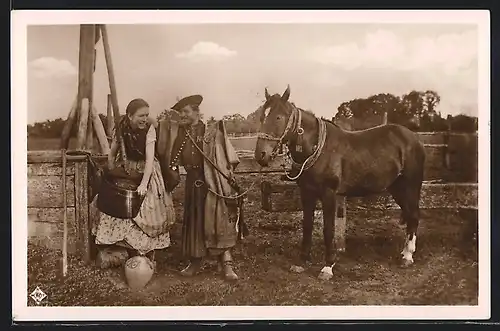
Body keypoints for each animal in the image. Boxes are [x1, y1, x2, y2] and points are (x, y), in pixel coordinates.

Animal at [254, 85, 426, 280]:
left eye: (278, 117)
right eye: (262, 116)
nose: (261, 155)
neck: (317, 147)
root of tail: (413, 137)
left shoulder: (329, 194)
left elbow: (328, 230)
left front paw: (328, 267)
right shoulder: (307, 193)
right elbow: (307, 226)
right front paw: (302, 261)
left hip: (411, 185)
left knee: (414, 215)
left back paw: (408, 256)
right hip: (396, 187)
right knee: (409, 213)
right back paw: (404, 253)